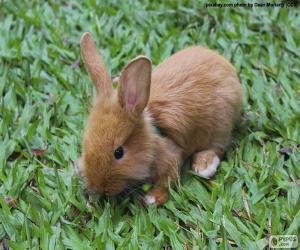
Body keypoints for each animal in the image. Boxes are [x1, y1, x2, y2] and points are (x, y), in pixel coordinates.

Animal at [78, 32, 243, 206]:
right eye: (85, 145)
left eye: (119, 152)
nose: (97, 187)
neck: (152, 140)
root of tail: (225, 65)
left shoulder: (171, 158)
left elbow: (167, 182)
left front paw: (151, 198)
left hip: (220, 125)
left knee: (217, 147)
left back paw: (204, 166)